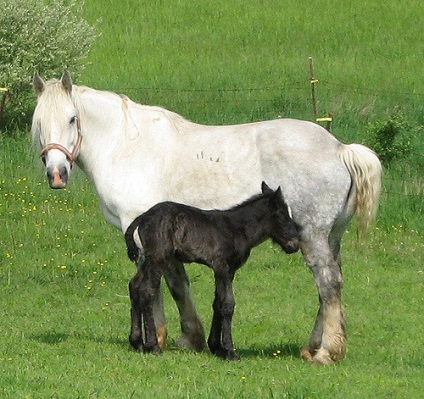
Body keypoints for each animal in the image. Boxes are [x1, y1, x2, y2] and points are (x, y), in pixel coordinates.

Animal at [124, 183, 300, 360]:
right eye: (281, 214)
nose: (294, 245)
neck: (237, 229)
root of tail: (142, 218)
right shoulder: (222, 267)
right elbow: (227, 304)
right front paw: (229, 351)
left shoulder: (228, 271)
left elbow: (218, 303)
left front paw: (217, 347)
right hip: (158, 258)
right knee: (147, 291)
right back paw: (152, 346)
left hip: (148, 259)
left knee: (135, 286)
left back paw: (137, 342)